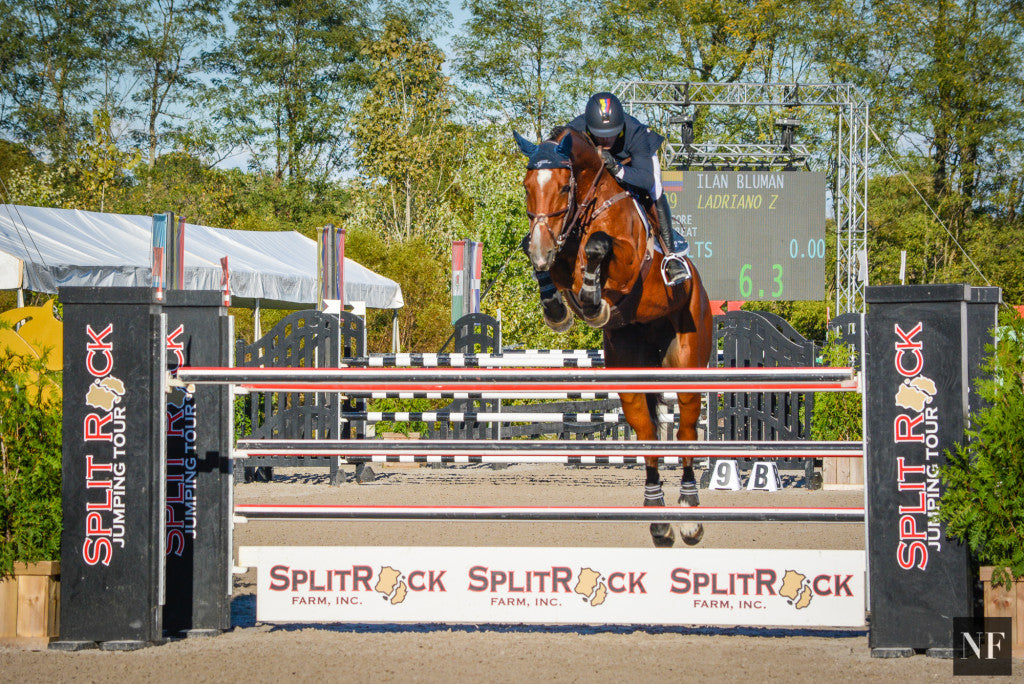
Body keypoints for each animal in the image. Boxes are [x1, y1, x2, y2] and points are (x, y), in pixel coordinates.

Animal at [512, 126, 712, 544]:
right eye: (526, 187)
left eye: (563, 186)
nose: (541, 248)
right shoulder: (558, 253)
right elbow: (552, 268)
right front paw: (557, 308)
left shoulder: (628, 263)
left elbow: (598, 245)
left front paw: (591, 298)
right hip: (631, 373)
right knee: (649, 435)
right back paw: (658, 515)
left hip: (688, 358)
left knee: (686, 431)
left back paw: (689, 513)